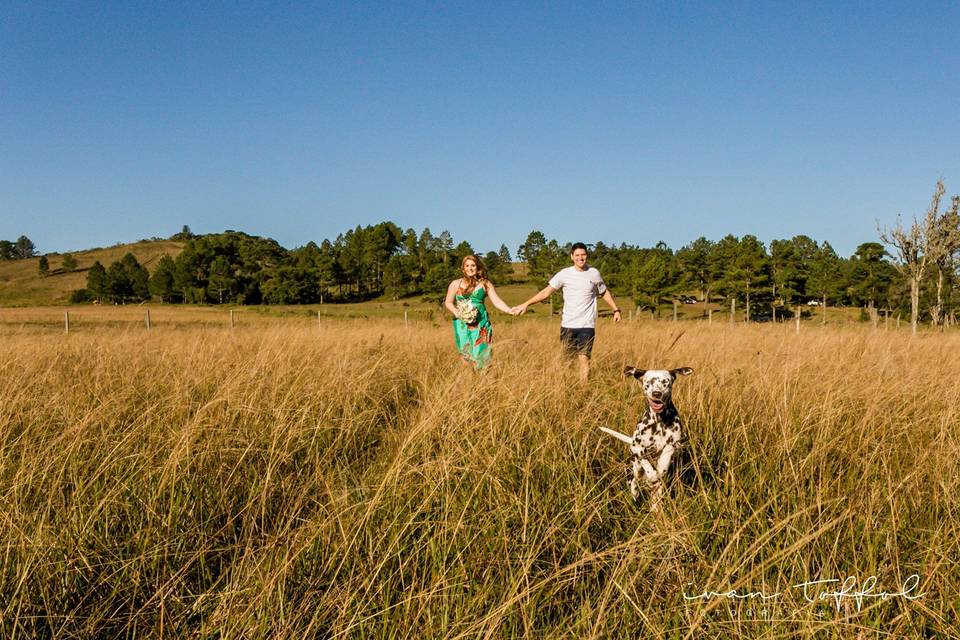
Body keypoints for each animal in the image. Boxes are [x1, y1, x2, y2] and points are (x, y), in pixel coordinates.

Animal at [596, 364, 692, 510]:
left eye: (666, 382)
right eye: (648, 382)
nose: (656, 393)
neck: (659, 421)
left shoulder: (676, 444)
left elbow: (667, 452)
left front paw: (661, 466)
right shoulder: (637, 448)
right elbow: (645, 459)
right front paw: (651, 474)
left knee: (656, 493)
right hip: (634, 468)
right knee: (634, 481)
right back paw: (636, 490)